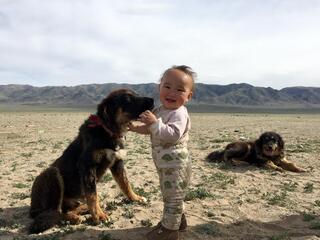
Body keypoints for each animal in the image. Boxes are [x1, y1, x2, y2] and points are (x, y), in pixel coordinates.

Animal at [29, 88, 154, 232]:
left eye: (137, 94)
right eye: (128, 99)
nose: (153, 100)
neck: (108, 131)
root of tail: (33, 209)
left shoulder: (117, 162)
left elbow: (125, 183)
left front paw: (135, 198)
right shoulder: (88, 166)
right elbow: (93, 195)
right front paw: (99, 215)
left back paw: (82, 209)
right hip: (51, 173)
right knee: (56, 211)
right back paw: (74, 217)